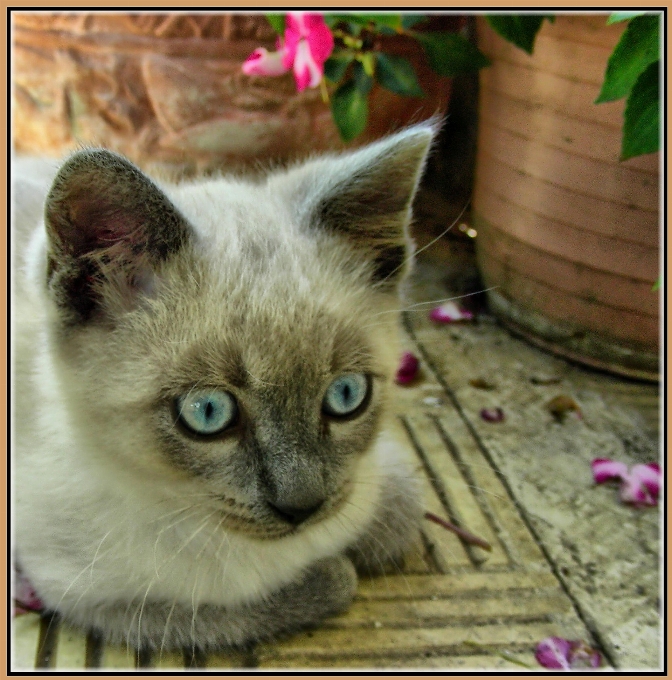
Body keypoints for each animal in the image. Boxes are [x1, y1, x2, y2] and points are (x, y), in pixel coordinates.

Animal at [13, 122, 438, 652]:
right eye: (208, 411)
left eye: (346, 396)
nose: (301, 507)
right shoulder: (97, 598)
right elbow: (318, 587)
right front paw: (335, 568)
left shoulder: (376, 474)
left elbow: (401, 510)